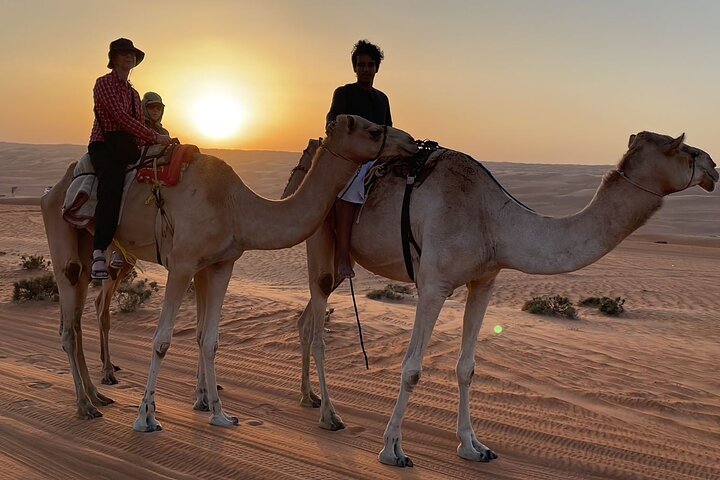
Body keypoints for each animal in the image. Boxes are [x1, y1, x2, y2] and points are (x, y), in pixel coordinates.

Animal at [40, 115, 418, 431]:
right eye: (373, 130)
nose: (412, 142)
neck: (236, 207)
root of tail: (53, 188)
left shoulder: (222, 264)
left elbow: (209, 340)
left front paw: (220, 414)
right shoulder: (183, 262)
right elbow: (162, 340)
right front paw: (146, 417)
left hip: (89, 248)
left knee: (76, 320)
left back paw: (97, 396)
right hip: (63, 235)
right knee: (68, 323)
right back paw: (85, 405)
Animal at [282, 131, 718, 467]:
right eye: (682, 147)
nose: (714, 168)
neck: (494, 221)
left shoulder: (485, 281)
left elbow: (467, 367)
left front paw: (474, 447)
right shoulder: (434, 283)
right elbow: (413, 369)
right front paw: (393, 450)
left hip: (343, 260)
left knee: (306, 321)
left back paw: (308, 397)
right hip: (318, 238)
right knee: (318, 326)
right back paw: (330, 415)